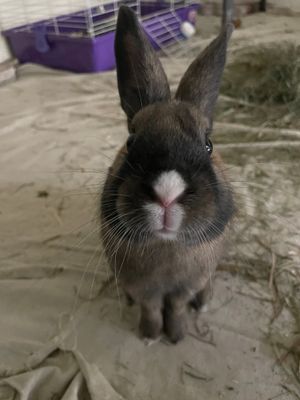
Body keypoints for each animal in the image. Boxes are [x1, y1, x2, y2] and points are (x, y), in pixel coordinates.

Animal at [101, 5, 234, 344]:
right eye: (131, 141)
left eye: (208, 144)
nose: (167, 193)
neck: (166, 245)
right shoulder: (142, 287)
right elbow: (150, 309)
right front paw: (149, 335)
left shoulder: (184, 286)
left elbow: (176, 307)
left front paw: (175, 336)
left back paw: (203, 303)